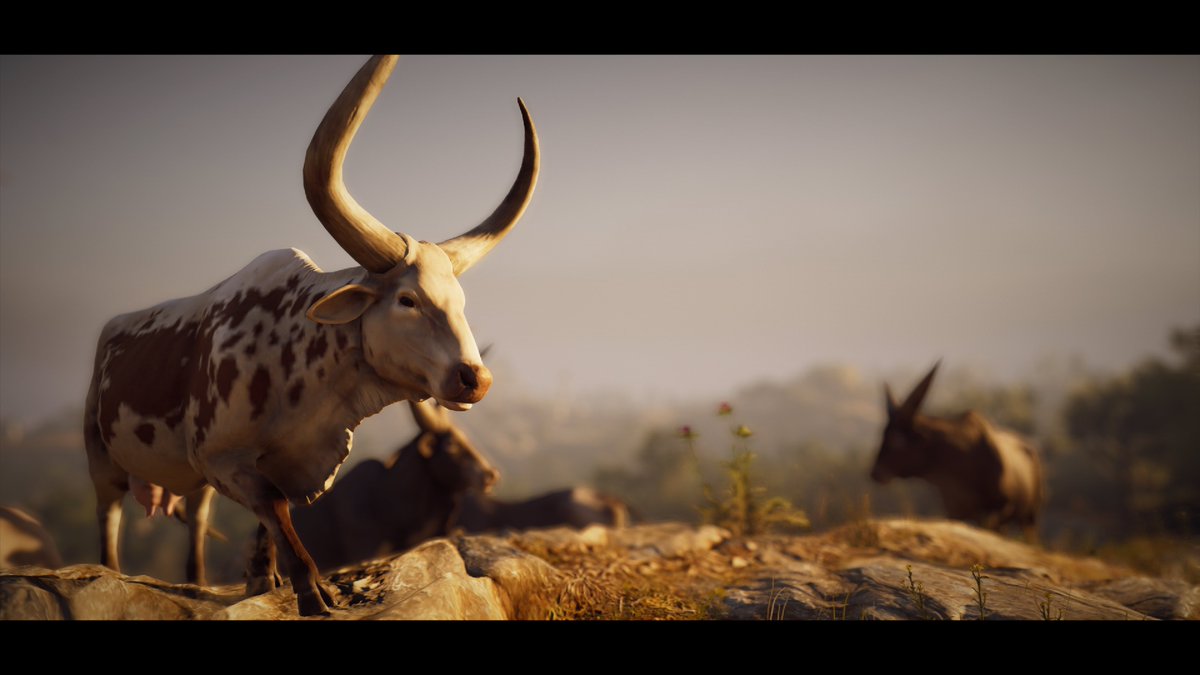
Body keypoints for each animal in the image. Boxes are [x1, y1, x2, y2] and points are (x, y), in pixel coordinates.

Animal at [83, 55, 539, 616]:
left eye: (462, 302)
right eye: (407, 300)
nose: (475, 379)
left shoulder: (268, 465)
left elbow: (269, 523)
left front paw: (264, 579)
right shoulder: (223, 459)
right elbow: (276, 510)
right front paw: (312, 591)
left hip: (188, 483)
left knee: (196, 518)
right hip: (102, 459)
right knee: (109, 516)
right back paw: (108, 571)